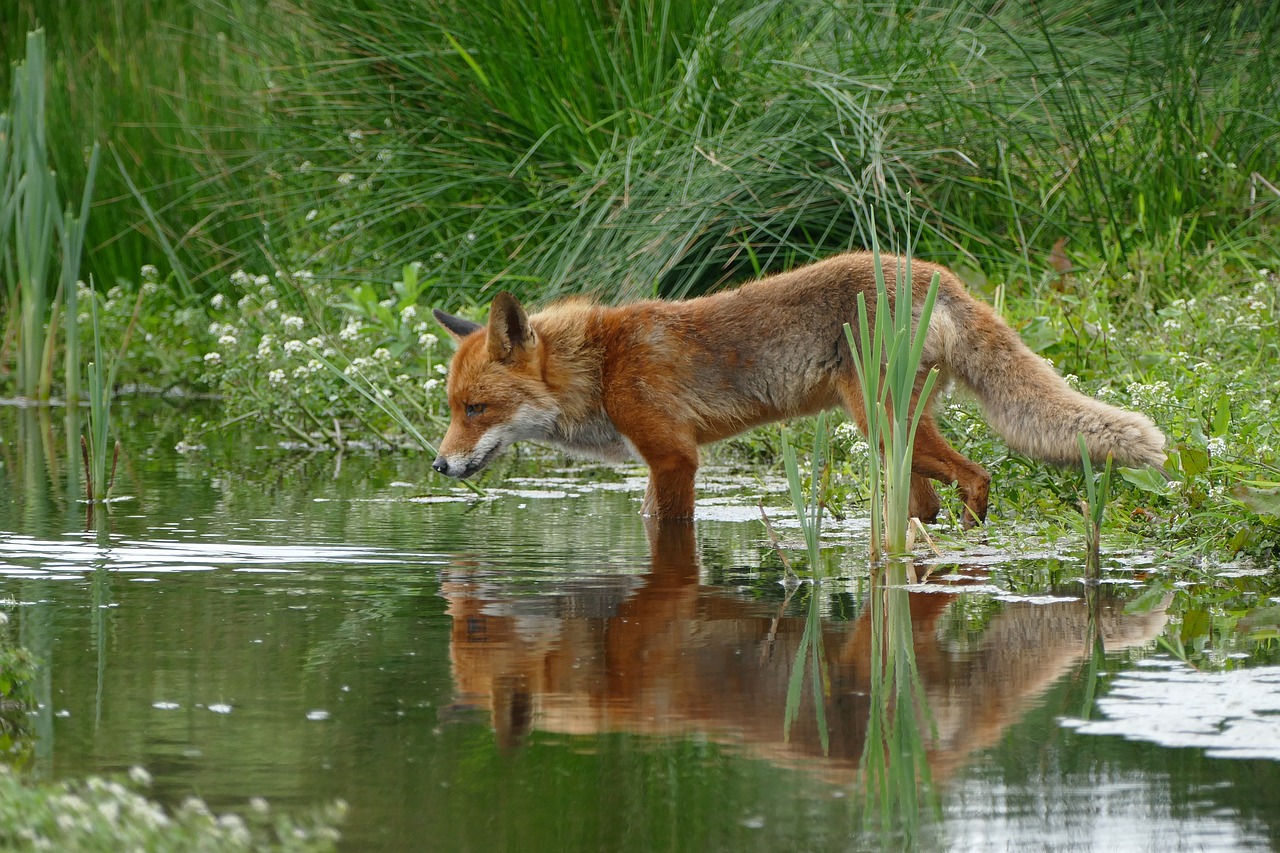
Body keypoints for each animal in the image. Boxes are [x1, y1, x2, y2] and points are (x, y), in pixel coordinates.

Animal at [432, 249, 1172, 522]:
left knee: (978, 475)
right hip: (894, 437)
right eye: (452, 409)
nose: (438, 466)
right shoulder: (660, 461)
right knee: (928, 502)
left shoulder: (674, 458)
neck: (603, 364)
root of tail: (937, 273)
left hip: (882, 423)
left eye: (477, 408)